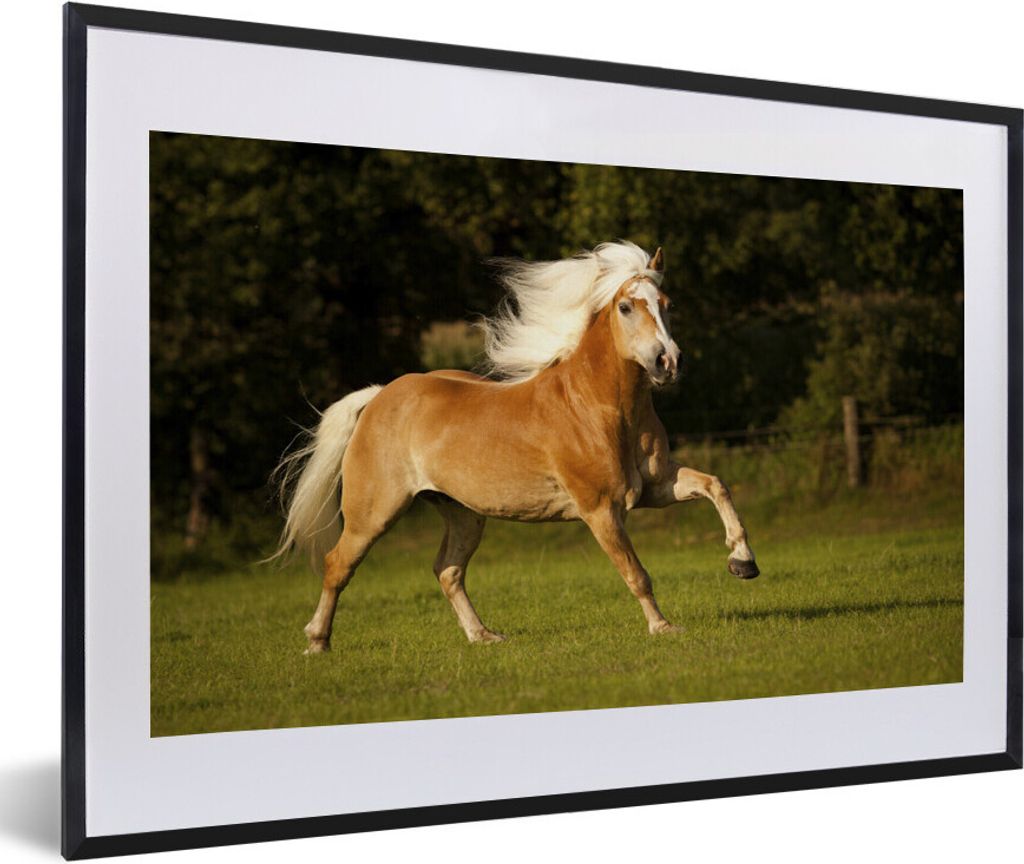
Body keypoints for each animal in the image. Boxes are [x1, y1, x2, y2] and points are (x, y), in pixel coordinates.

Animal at [272, 241, 758, 653]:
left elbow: (715, 485)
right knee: (338, 564)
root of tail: (378, 398)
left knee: (448, 570)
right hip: (374, 513)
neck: (596, 406)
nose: (668, 362)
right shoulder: (600, 509)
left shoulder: (655, 488)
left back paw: (483, 636)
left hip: (463, 513)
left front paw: (742, 563)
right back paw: (317, 642)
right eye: (625, 307)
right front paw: (663, 627)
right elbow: (635, 573)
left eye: (667, 305)